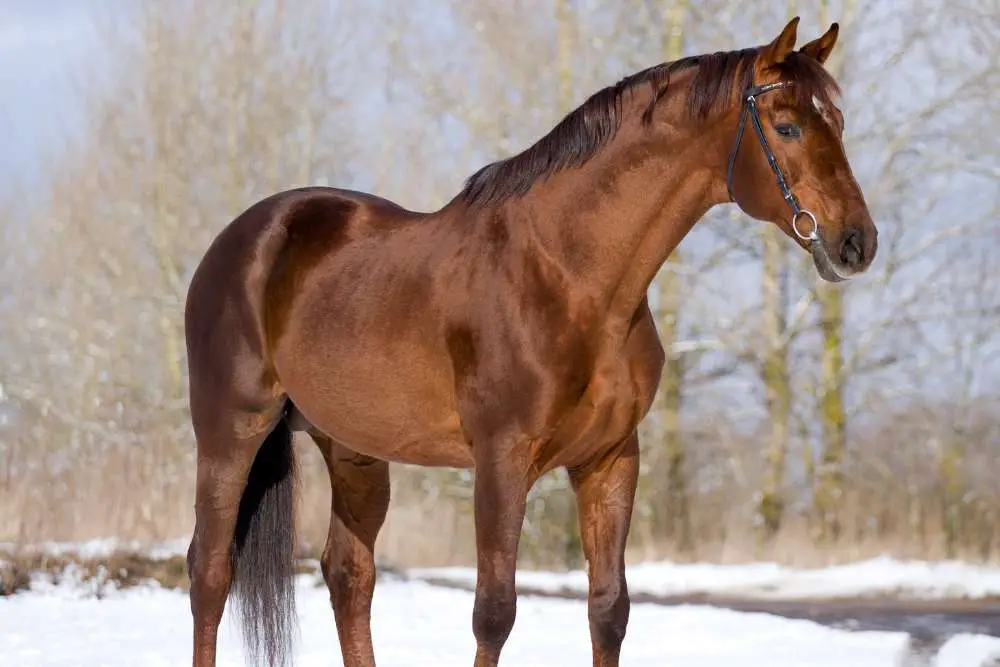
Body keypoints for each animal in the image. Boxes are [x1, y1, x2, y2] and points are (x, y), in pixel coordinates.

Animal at [184, 15, 880, 667]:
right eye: (786, 127)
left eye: (840, 121)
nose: (856, 243)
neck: (569, 274)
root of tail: (244, 237)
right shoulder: (502, 459)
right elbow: (494, 611)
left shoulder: (610, 458)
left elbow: (609, 610)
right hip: (231, 433)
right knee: (210, 572)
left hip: (353, 449)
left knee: (348, 576)